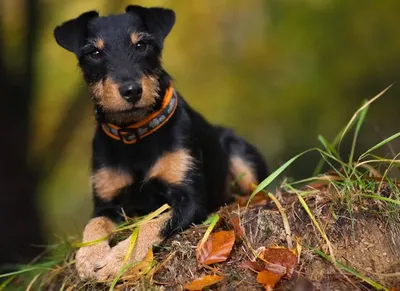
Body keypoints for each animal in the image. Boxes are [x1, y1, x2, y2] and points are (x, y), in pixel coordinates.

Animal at [52, 5, 266, 282]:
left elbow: (153, 223)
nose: (131, 91)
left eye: (142, 44)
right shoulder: (107, 204)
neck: (135, 134)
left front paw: (119, 261)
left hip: (241, 155)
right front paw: (89, 257)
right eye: (94, 53)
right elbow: (94, 224)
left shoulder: (191, 200)